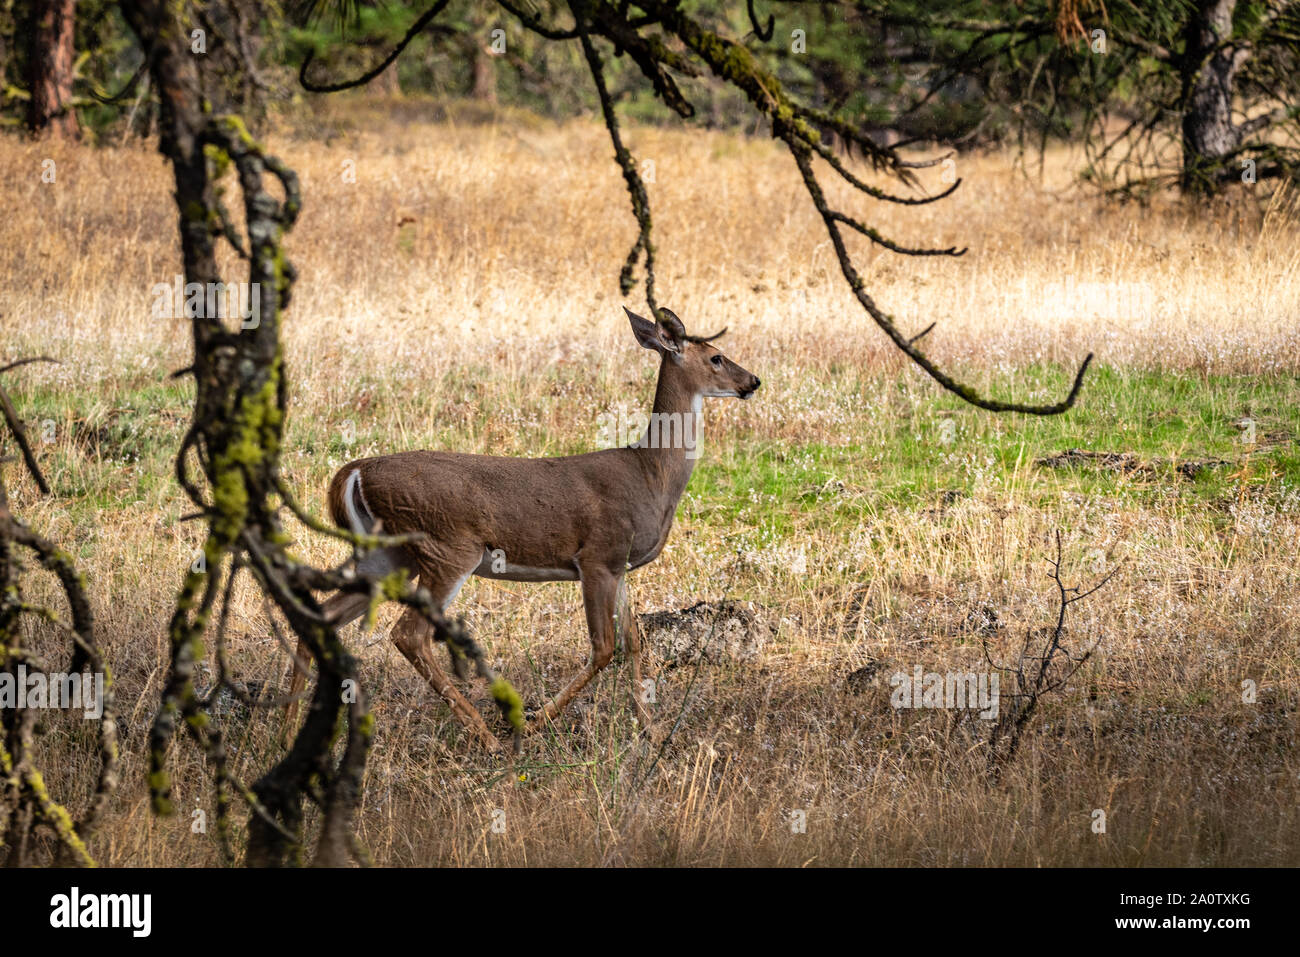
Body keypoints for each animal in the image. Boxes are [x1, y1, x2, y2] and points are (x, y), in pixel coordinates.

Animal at [279, 306, 759, 748]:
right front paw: (533, 721)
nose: (753, 381)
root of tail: (354, 471)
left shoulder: (618, 565)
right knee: (409, 635)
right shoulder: (597, 555)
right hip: (447, 548)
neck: (650, 474)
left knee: (323, 615)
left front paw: (653, 731)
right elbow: (604, 648)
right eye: (716, 357)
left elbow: (635, 641)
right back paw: (486, 736)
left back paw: (288, 731)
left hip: (388, 554)